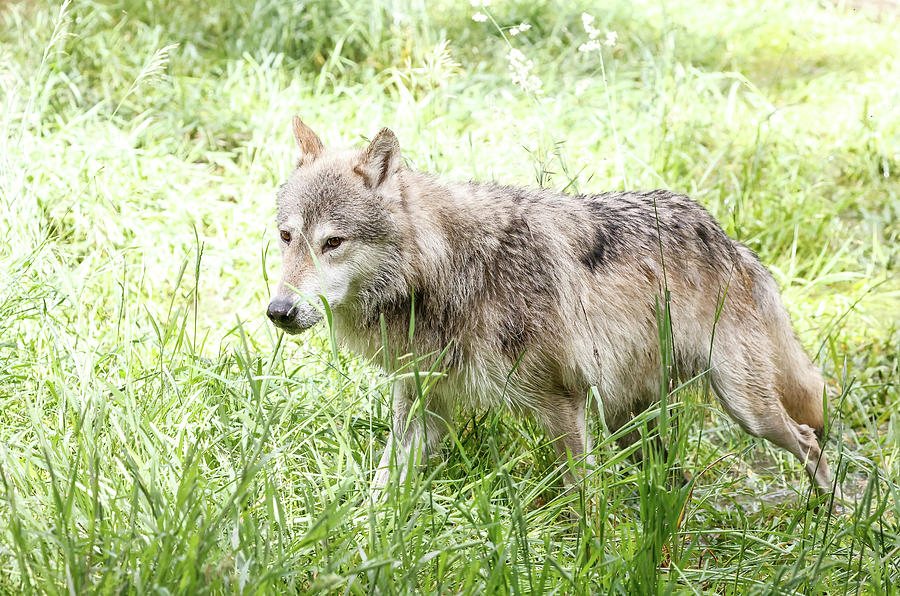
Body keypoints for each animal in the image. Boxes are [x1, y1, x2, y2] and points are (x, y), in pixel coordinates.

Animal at [268, 116, 836, 494]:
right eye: (287, 237)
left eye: (333, 243)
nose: (279, 311)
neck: (447, 270)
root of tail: (727, 238)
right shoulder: (421, 408)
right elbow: (380, 491)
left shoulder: (563, 401)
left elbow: (582, 498)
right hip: (627, 422)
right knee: (674, 477)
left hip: (746, 409)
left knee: (809, 439)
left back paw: (829, 522)